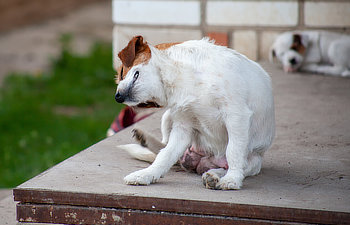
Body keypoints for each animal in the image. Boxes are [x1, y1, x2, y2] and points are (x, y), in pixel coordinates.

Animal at [115, 35, 274, 190]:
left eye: (122, 72)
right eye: (146, 104)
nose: (117, 97)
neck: (183, 78)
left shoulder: (236, 116)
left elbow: (234, 151)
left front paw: (232, 180)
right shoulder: (183, 126)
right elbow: (166, 155)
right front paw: (146, 174)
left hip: (253, 161)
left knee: (233, 166)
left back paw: (214, 176)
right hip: (168, 118)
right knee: (164, 146)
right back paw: (145, 140)